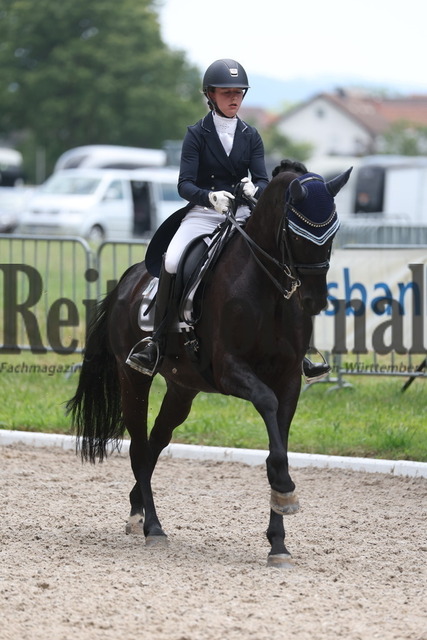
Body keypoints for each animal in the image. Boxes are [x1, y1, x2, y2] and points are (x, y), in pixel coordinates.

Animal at [67, 161, 352, 568]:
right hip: (132, 378)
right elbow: (267, 410)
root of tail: (128, 279)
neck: (267, 290)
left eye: (332, 231)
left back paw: (137, 511)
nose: (314, 301)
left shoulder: (289, 380)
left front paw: (278, 541)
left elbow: (279, 440)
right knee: (138, 446)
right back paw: (152, 527)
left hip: (182, 389)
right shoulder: (231, 371)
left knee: (155, 443)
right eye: (296, 232)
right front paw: (284, 489)